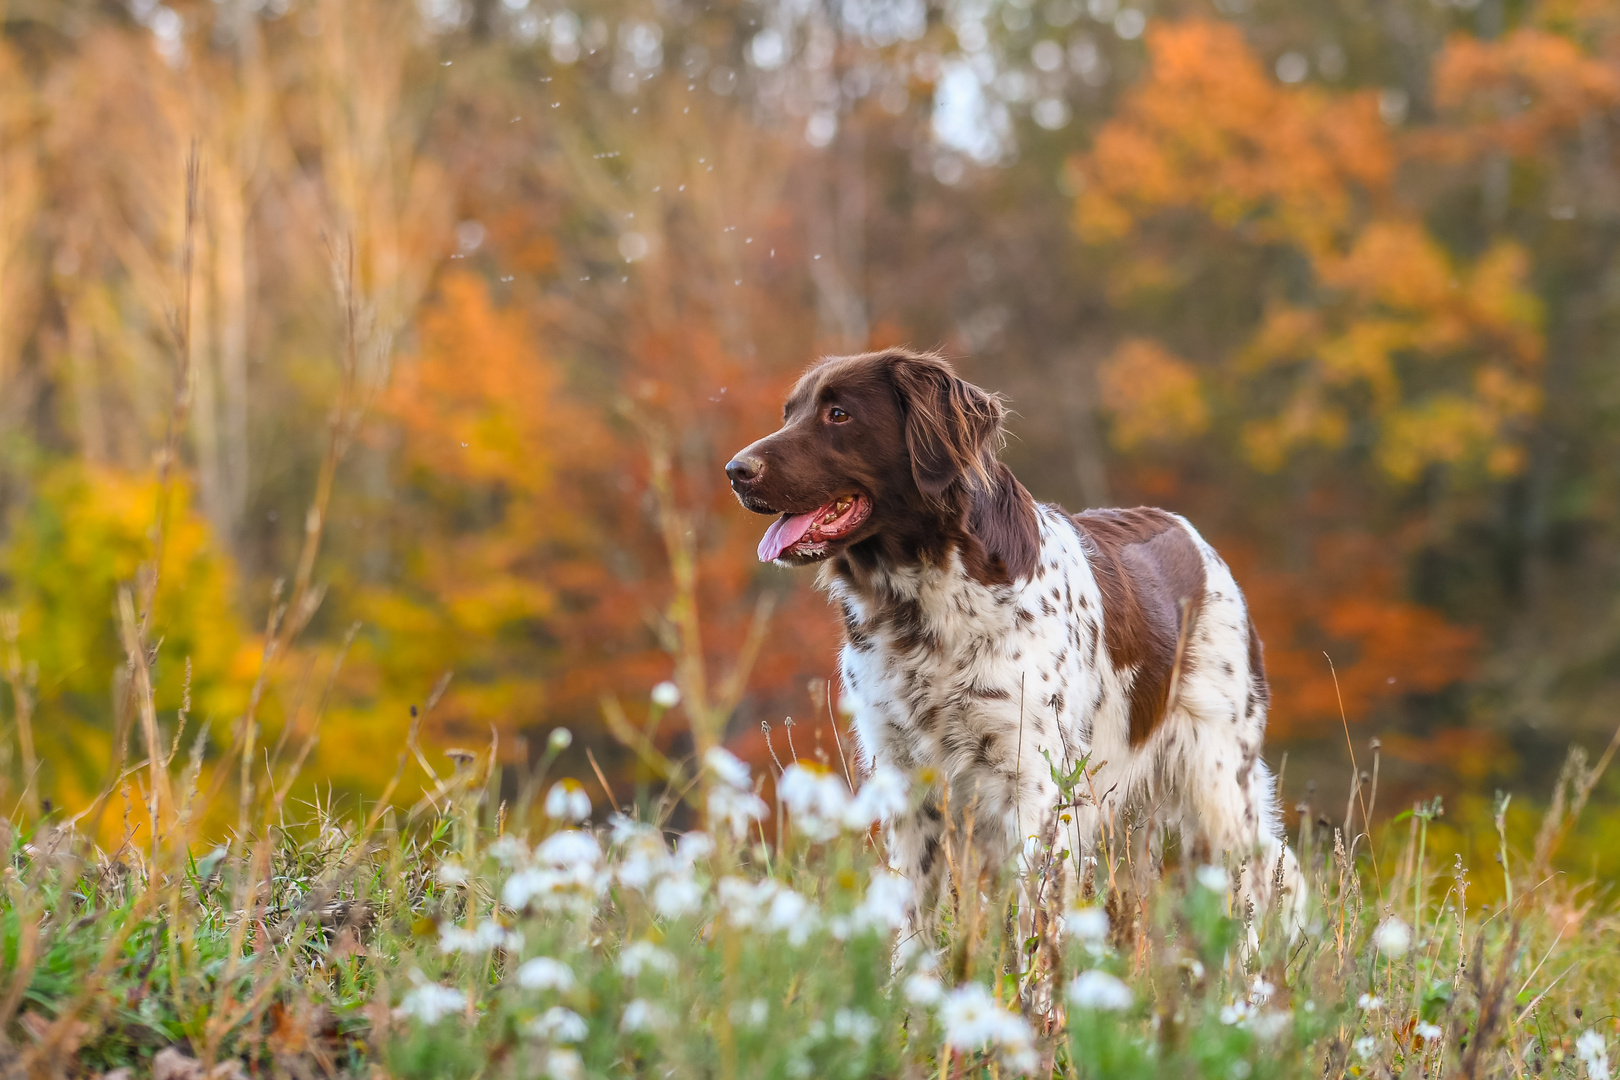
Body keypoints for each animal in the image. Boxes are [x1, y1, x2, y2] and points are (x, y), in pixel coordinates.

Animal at [725, 351, 1302, 932]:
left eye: (838, 414)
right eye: (790, 413)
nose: (735, 472)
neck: (923, 609)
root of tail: (1192, 534)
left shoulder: (1038, 783)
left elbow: (1037, 921)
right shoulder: (906, 781)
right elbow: (912, 919)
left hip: (1220, 777)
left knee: (1259, 885)